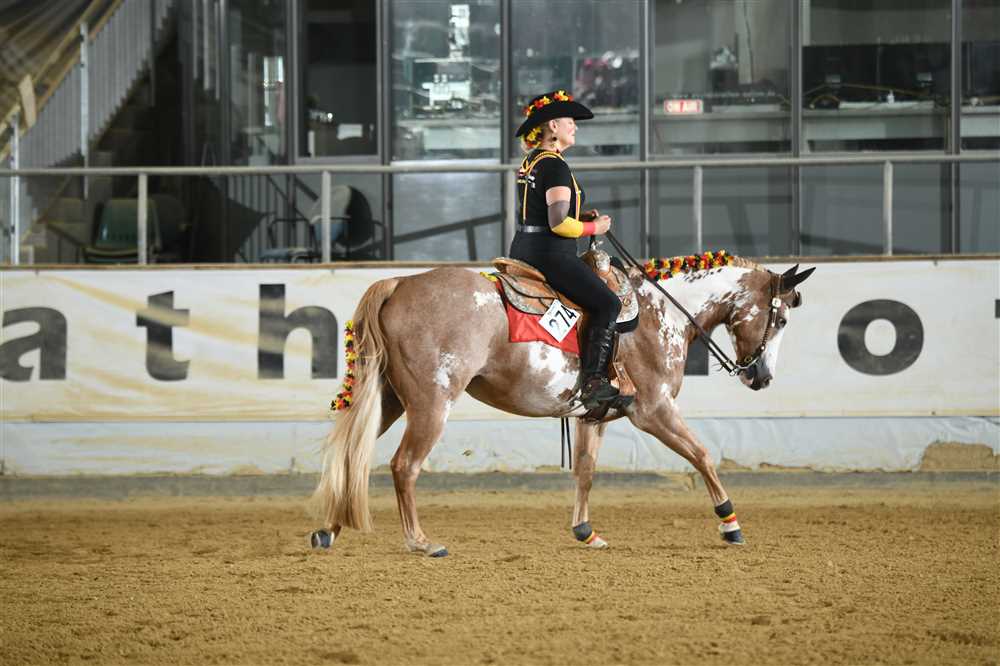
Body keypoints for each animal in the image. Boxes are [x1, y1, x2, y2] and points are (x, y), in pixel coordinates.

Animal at [310, 250, 815, 556]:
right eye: (782, 319)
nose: (761, 377)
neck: (660, 315)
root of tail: (399, 283)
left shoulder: (595, 414)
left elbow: (585, 471)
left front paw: (585, 531)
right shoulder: (653, 411)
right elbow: (703, 455)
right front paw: (730, 524)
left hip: (390, 400)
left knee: (350, 456)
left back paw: (328, 528)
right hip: (431, 404)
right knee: (404, 466)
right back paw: (420, 541)